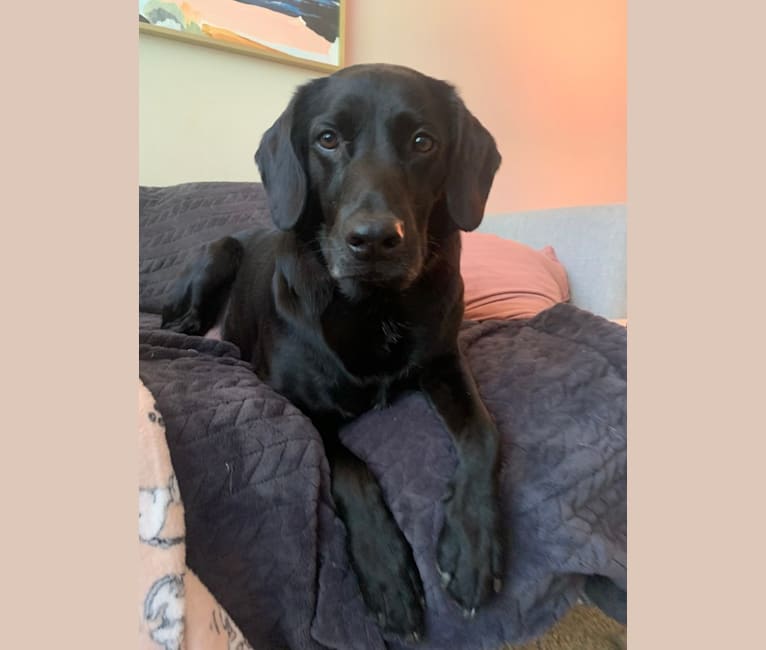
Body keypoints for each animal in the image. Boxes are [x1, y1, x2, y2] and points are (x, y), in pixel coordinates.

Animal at [164, 62, 504, 636]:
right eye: (327, 139)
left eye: (423, 141)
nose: (374, 239)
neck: (374, 306)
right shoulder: (292, 400)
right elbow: (350, 467)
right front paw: (387, 575)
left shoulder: (444, 360)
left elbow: (484, 434)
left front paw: (473, 548)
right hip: (220, 251)